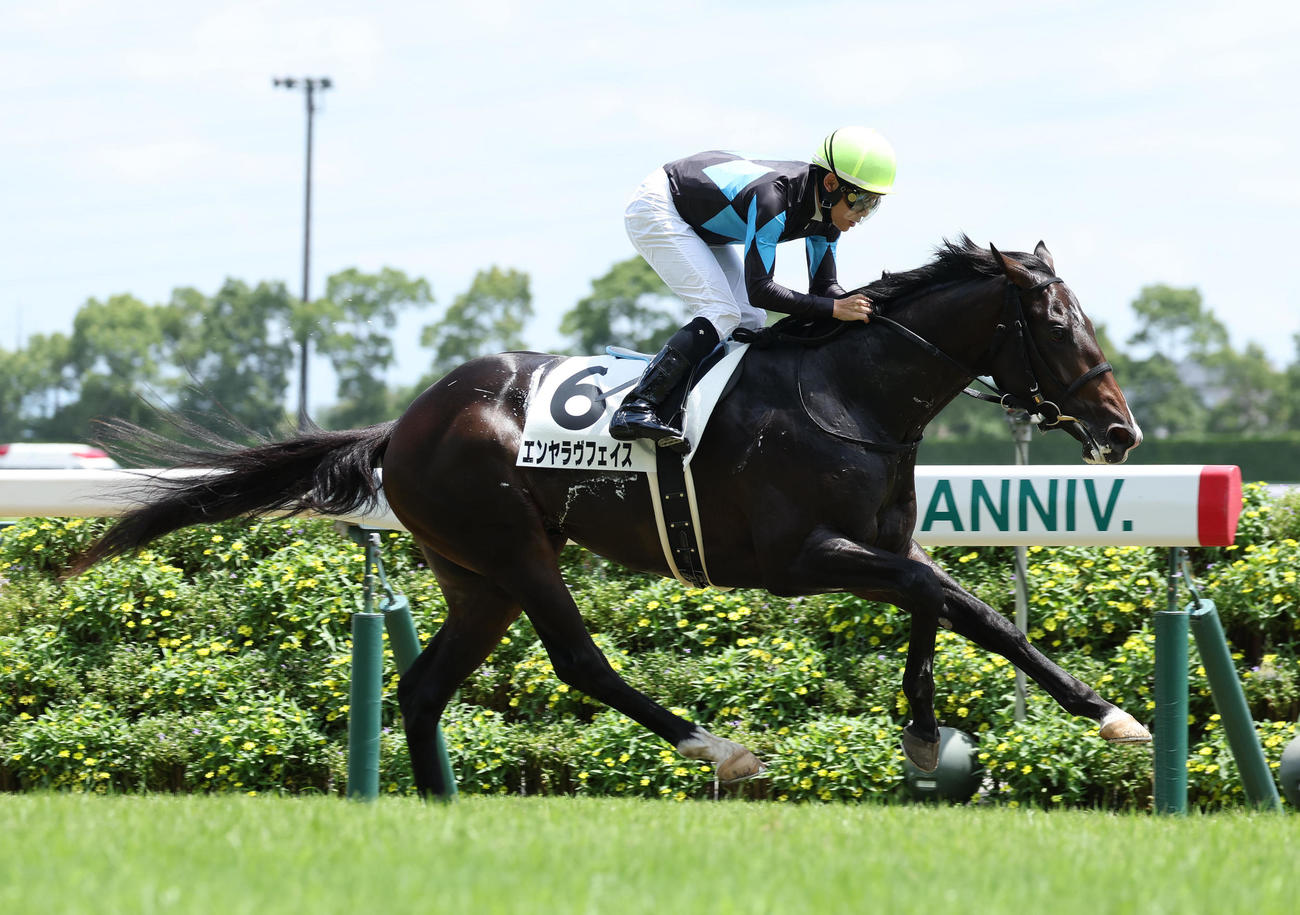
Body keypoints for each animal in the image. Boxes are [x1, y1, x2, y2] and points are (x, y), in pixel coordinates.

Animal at [71, 236, 1151, 799]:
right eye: (1058, 325)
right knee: (578, 661)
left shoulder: (880, 541)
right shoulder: (800, 557)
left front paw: (930, 738)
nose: (1120, 430)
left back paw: (438, 807)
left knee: (424, 687)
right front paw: (1109, 714)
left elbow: (941, 604)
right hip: (512, 546)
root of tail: (404, 421)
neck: (851, 394)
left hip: (477, 576)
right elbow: (964, 604)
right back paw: (718, 749)